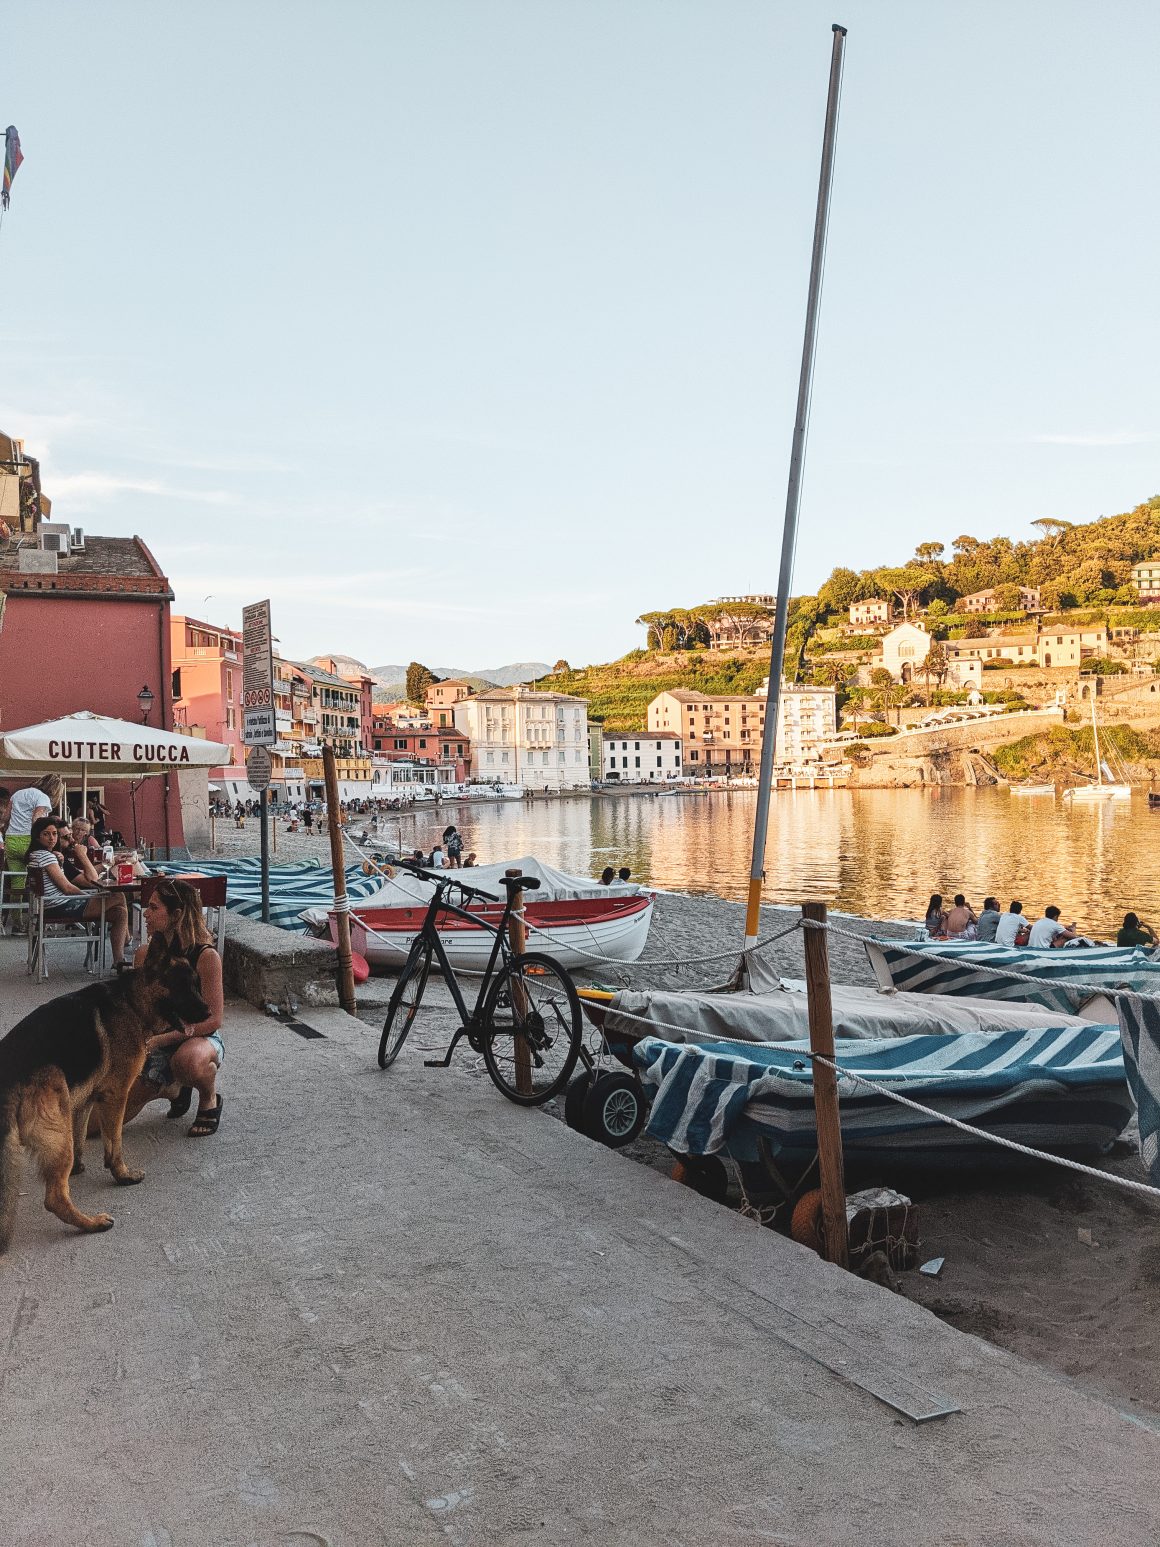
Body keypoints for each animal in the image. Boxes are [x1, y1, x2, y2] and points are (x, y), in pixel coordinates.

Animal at [0, 959, 211, 1249]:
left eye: (197, 985)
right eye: (181, 986)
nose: (209, 1012)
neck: (132, 1001)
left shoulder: (84, 1101)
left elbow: (79, 1137)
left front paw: (78, 1167)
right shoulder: (116, 1096)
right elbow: (114, 1143)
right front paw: (122, 1175)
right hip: (57, 1111)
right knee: (54, 1198)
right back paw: (92, 1223)